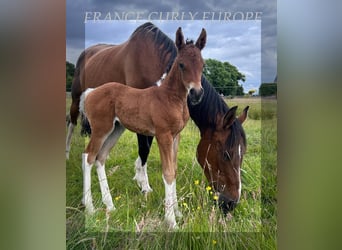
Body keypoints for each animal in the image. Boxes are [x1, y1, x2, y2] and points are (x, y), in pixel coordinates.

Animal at [80, 27, 206, 229]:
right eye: (181, 64)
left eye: (202, 64)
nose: (196, 94)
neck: (170, 97)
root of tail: (90, 93)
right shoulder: (163, 135)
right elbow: (168, 173)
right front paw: (171, 221)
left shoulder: (176, 137)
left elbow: (174, 170)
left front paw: (178, 212)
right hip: (101, 129)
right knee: (88, 157)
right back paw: (90, 207)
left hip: (115, 130)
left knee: (101, 158)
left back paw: (110, 205)